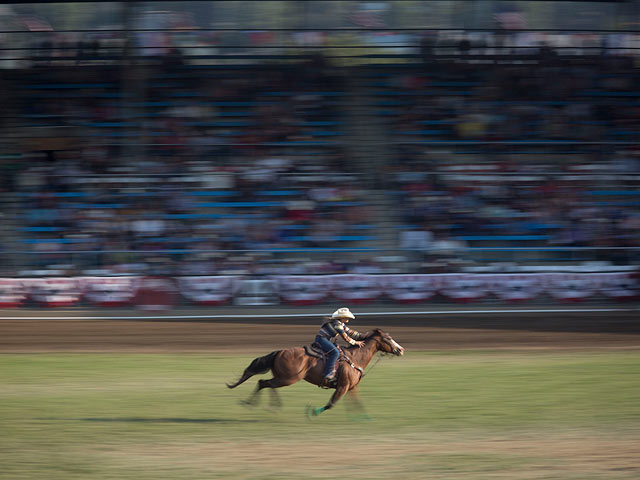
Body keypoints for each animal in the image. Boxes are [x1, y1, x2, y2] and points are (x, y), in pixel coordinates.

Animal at [228, 330, 402, 416]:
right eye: (388, 338)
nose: (400, 349)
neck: (354, 358)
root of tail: (279, 352)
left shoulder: (351, 387)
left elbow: (357, 403)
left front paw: (362, 418)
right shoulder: (343, 386)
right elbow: (331, 403)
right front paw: (312, 411)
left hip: (282, 378)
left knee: (267, 384)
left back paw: (270, 406)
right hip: (288, 378)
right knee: (263, 383)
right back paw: (255, 404)